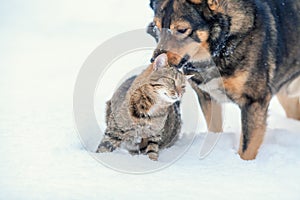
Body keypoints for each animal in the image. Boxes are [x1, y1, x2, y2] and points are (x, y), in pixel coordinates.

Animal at [148, 0, 300, 159]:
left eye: (182, 30)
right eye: (156, 27)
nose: (154, 60)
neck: (222, 45)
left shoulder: (254, 101)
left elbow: (247, 148)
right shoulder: (207, 97)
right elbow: (214, 128)